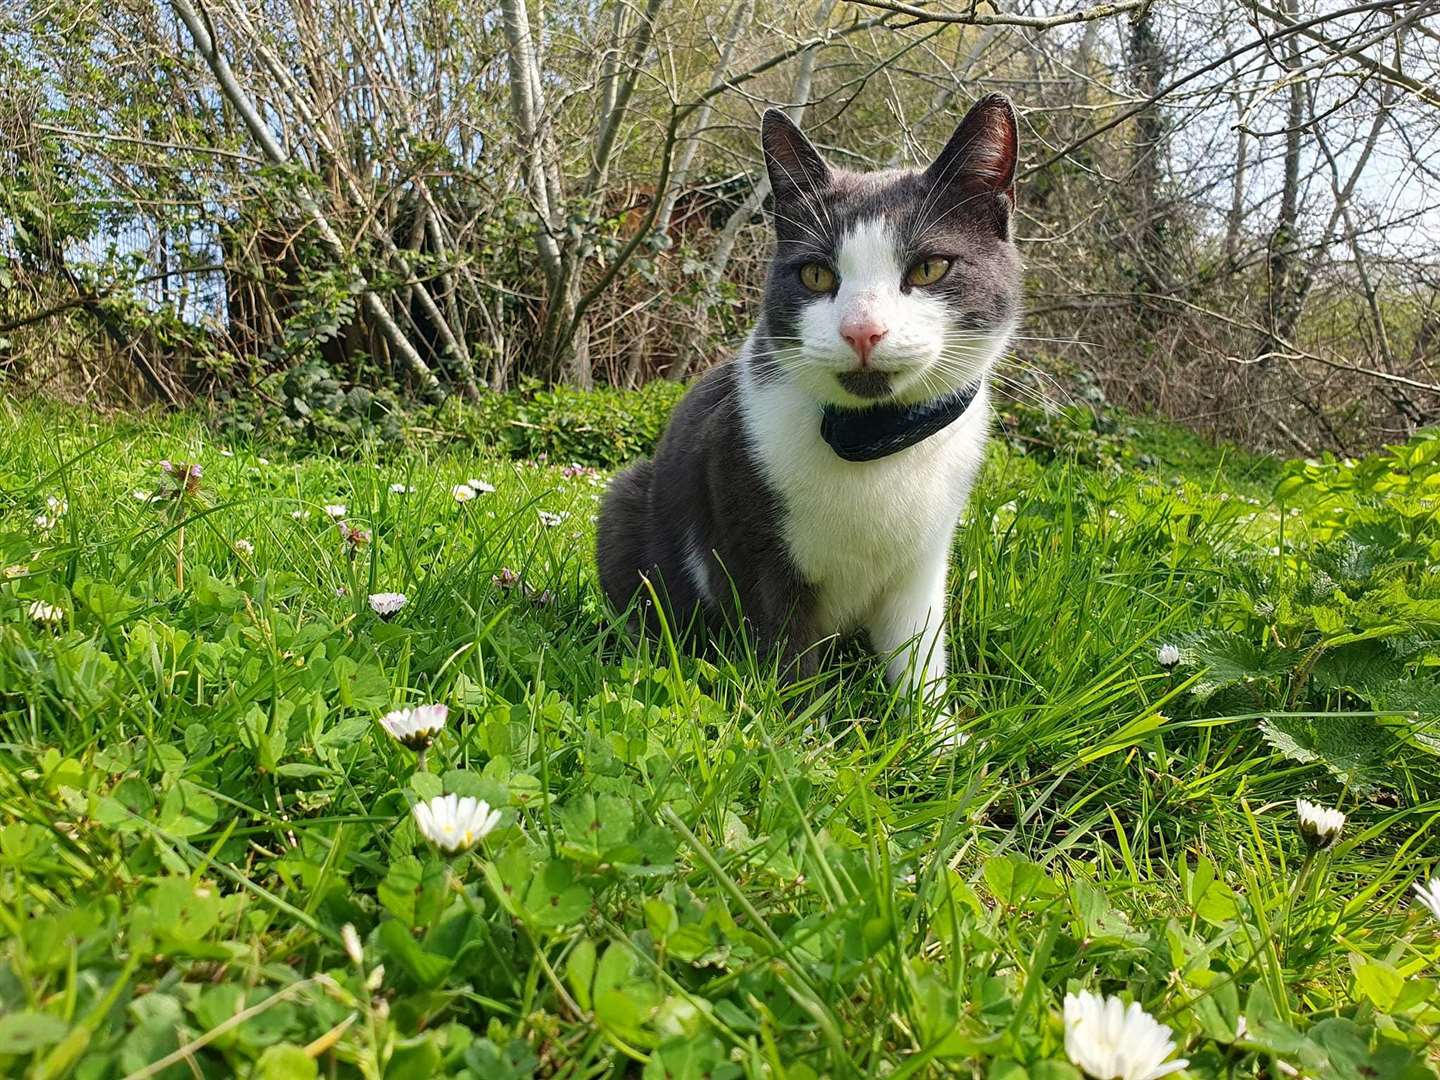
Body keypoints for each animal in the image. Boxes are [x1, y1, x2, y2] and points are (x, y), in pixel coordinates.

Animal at [596, 91, 1025, 720]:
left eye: (929, 267)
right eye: (817, 274)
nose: (862, 330)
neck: (873, 441)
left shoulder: (926, 553)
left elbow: (918, 651)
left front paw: (937, 733)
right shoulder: (748, 530)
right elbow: (783, 646)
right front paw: (799, 731)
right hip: (629, 501)